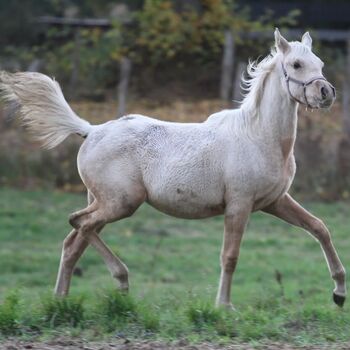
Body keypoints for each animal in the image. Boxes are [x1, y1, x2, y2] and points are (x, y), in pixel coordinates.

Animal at [0, 30, 346, 308]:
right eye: (297, 65)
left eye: (320, 63)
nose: (326, 92)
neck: (259, 136)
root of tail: (91, 130)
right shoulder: (240, 204)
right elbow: (230, 256)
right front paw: (224, 306)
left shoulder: (274, 201)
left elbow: (320, 228)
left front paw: (339, 293)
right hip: (121, 202)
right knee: (78, 223)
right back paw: (120, 280)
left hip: (103, 202)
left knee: (73, 242)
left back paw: (62, 299)